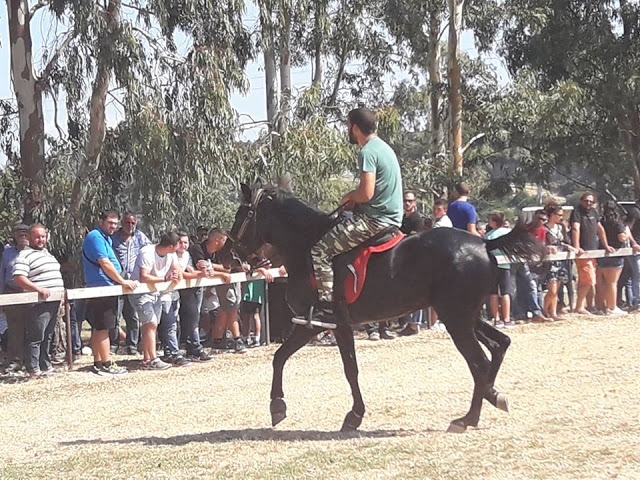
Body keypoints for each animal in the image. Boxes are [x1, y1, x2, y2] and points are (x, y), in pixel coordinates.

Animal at [228, 184, 544, 432]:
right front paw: (278, 406)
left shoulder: (326, 324)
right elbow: (280, 358)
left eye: (242, 215)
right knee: (498, 346)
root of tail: (484, 244)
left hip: (457, 320)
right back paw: (488, 399)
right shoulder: (315, 326)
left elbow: (348, 369)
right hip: (464, 317)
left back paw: (470, 416)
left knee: (479, 362)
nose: (233, 257)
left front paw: (353, 415)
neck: (305, 248)